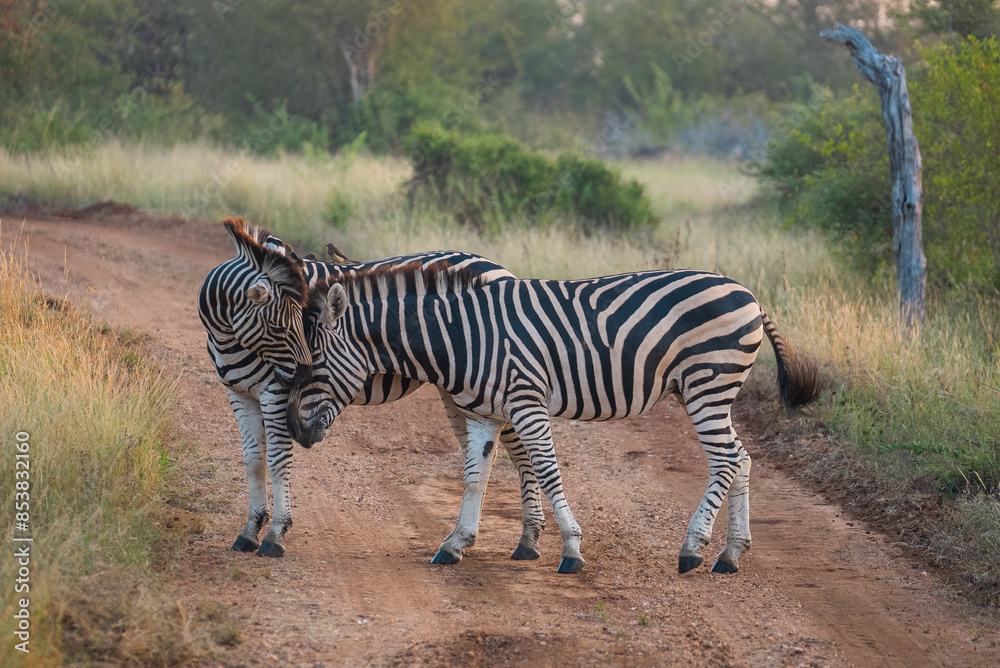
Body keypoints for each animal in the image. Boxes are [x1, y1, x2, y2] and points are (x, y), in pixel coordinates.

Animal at [199, 217, 546, 558]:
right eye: (280, 327)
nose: (302, 374)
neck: (229, 337)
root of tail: (499, 268)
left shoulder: (274, 393)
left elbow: (277, 460)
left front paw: (275, 534)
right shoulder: (239, 394)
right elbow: (252, 460)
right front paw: (249, 531)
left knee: (521, 453)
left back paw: (528, 540)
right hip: (460, 390)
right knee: (482, 453)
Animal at [285, 263, 821, 574]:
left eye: (313, 364)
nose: (294, 431)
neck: (460, 338)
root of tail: (746, 290)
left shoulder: (527, 401)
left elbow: (546, 470)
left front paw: (571, 550)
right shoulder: (483, 414)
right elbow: (475, 477)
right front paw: (455, 543)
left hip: (707, 383)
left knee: (727, 460)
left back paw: (692, 549)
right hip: (716, 391)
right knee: (743, 459)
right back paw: (731, 554)